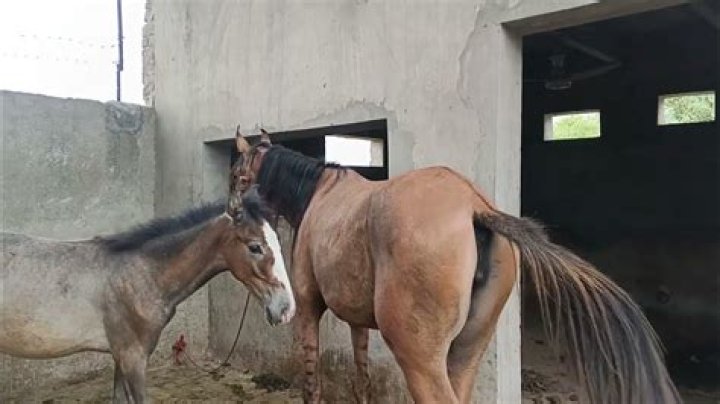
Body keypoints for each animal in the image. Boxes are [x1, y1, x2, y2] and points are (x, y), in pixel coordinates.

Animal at [0, 186, 295, 403]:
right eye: (255, 247)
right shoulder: (134, 357)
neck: (141, 273)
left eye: (278, 242)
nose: (286, 309)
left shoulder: (120, 356)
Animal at [230, 128, 681, 404]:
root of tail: (475, 208)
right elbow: (361, 377)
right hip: (468, 348)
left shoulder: (309, 306)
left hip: (421, 355)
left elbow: (312, 380)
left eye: (238, 174)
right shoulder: (357, 320)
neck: (319, 194)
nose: (231, 213)